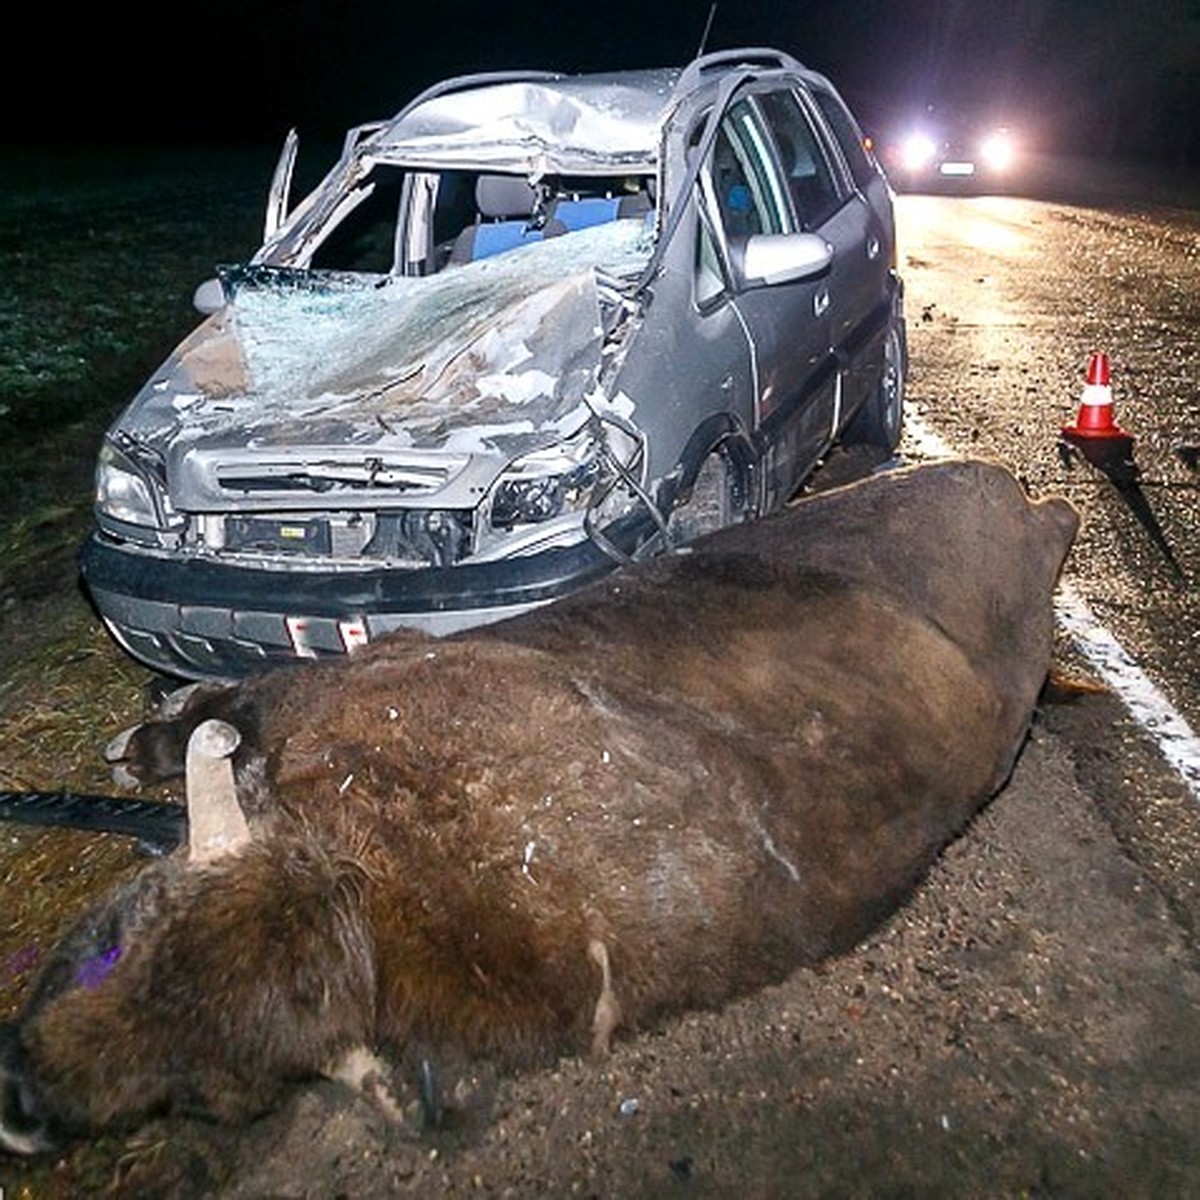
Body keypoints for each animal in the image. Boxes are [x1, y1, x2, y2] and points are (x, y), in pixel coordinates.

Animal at [0, 458, 1080, 1152]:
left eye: (196, 1087)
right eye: (115, 933)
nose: (19, 1107)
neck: (375, 873)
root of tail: (1035, 510)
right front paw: (146, 738)